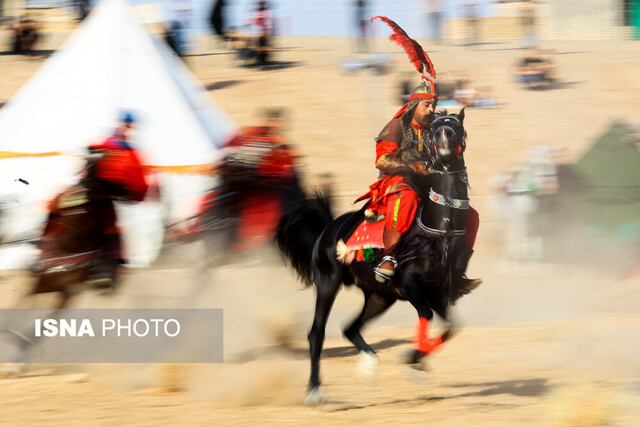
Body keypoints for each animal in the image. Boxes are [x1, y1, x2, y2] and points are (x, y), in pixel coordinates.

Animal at [278, 108, 478, 406]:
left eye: (456, 126)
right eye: (435, 128)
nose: (444, 137)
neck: (443, 228)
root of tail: (328, 228)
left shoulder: (437, 291)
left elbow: (451, 328)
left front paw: (417, 362)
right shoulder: (410, 284)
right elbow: (427, 315)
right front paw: (413, 358)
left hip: (380, 296)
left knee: (350, 328)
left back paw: (370, 363)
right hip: (328, 282)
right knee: (317, 333)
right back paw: (315, 391)